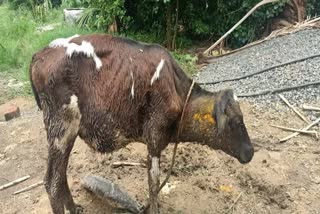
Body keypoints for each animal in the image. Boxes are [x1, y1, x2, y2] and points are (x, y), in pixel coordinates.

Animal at [30, 33, 255, 214]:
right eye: (236, 121)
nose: (251, 152)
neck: (177, 90)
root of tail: (40, 54)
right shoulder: (154, 137)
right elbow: (154, 182)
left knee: (60, 177)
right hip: (61, 128)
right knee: (52, 182)